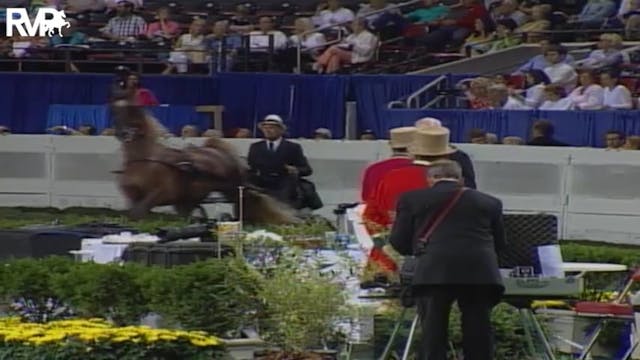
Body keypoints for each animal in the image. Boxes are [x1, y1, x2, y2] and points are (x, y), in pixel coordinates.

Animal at [110, 97, 300, 224]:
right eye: (115, 112)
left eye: (133, 112)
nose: (123, 133)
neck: (146, 159)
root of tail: (217, 150)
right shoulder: (134, 194)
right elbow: (135, 211)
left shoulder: (161, 193)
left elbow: (140, 211)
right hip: (192, 196)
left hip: (230, 188)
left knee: (245, 201)